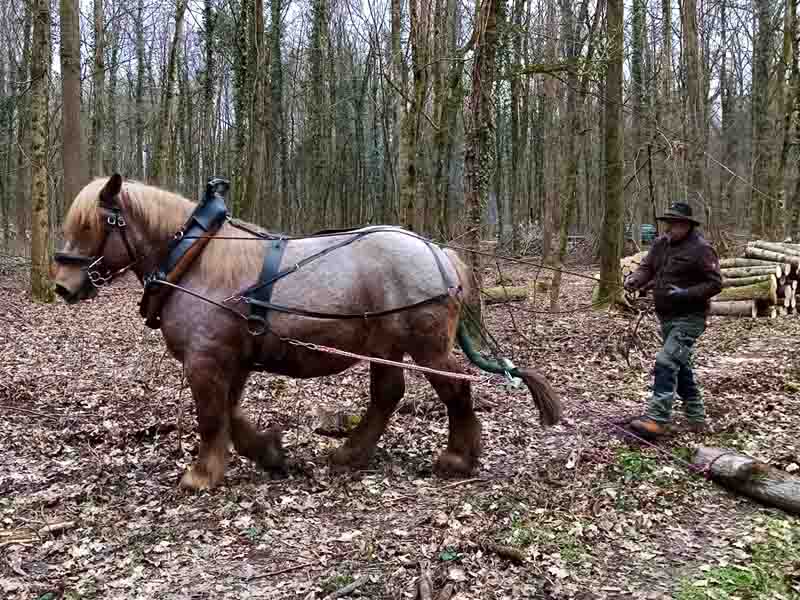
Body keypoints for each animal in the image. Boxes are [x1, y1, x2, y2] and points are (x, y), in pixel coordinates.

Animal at [53, 175, 564, 492]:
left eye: (95, 224)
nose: (62, 286)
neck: (193, 259)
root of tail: (438, 253)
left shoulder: (206, 360)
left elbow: (212, 417)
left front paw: (201, 475)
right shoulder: (232, 359)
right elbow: (231, 415)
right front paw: (270, 453)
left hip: (427, 347)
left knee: (454, 390)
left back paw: (458, 458)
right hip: (385, 345)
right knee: (388, 394)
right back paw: (351, 453)